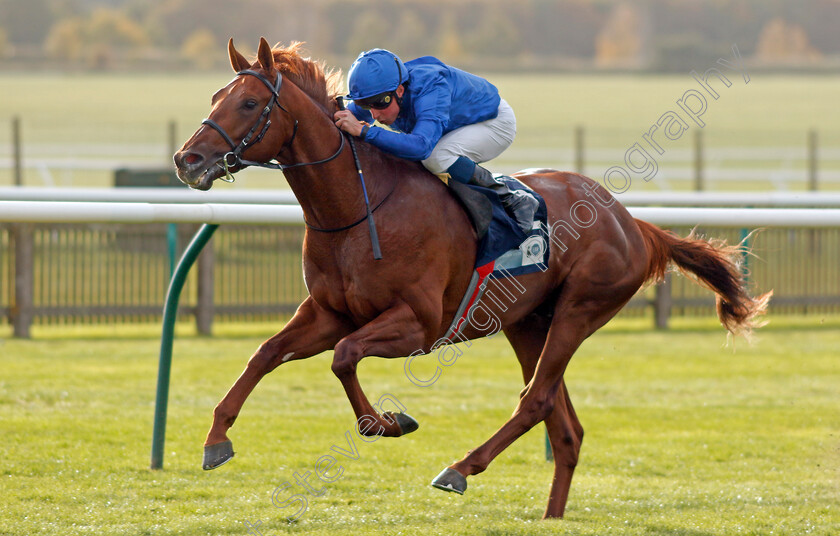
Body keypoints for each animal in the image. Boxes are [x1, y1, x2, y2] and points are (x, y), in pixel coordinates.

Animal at [174, 38, 772, 520]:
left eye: (250, 103)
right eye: (215, 97)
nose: (187, 159)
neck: (358, 209)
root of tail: (632, 222)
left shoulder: (416, 325)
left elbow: (344, 357)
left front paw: (388, 422)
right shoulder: (327, 313)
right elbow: (265, 354)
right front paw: (216, 439)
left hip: (579, 311)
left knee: (535, 401)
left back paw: (459, 468)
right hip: (529, 322)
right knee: (564, 425)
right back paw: (550, 515)